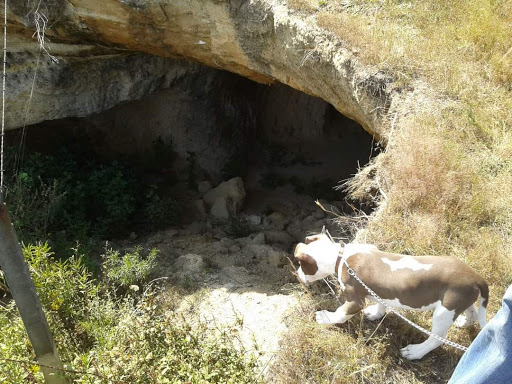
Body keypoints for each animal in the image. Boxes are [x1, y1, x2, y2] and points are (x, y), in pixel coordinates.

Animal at [294, 232, 490, 362]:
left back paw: (415, 352)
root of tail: (476, 277)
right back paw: (463, 322)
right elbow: (382, 302)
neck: (341, 257)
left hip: (444, 311)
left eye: (302, 266)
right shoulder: (378, 290)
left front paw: (326, 317)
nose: (298, 275)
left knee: (436, 339)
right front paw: (375, 313)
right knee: (472, 311)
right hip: (460, 299)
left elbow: (341, 313)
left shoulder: (355, 301)